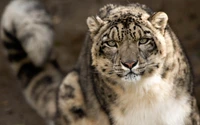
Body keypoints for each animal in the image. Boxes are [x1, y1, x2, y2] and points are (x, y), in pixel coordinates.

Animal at [0, 0, 199, 125]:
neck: (145, 94)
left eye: (143, 40)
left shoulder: (185, 111)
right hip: (70, 90)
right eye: (111, 43)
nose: (129, 63)